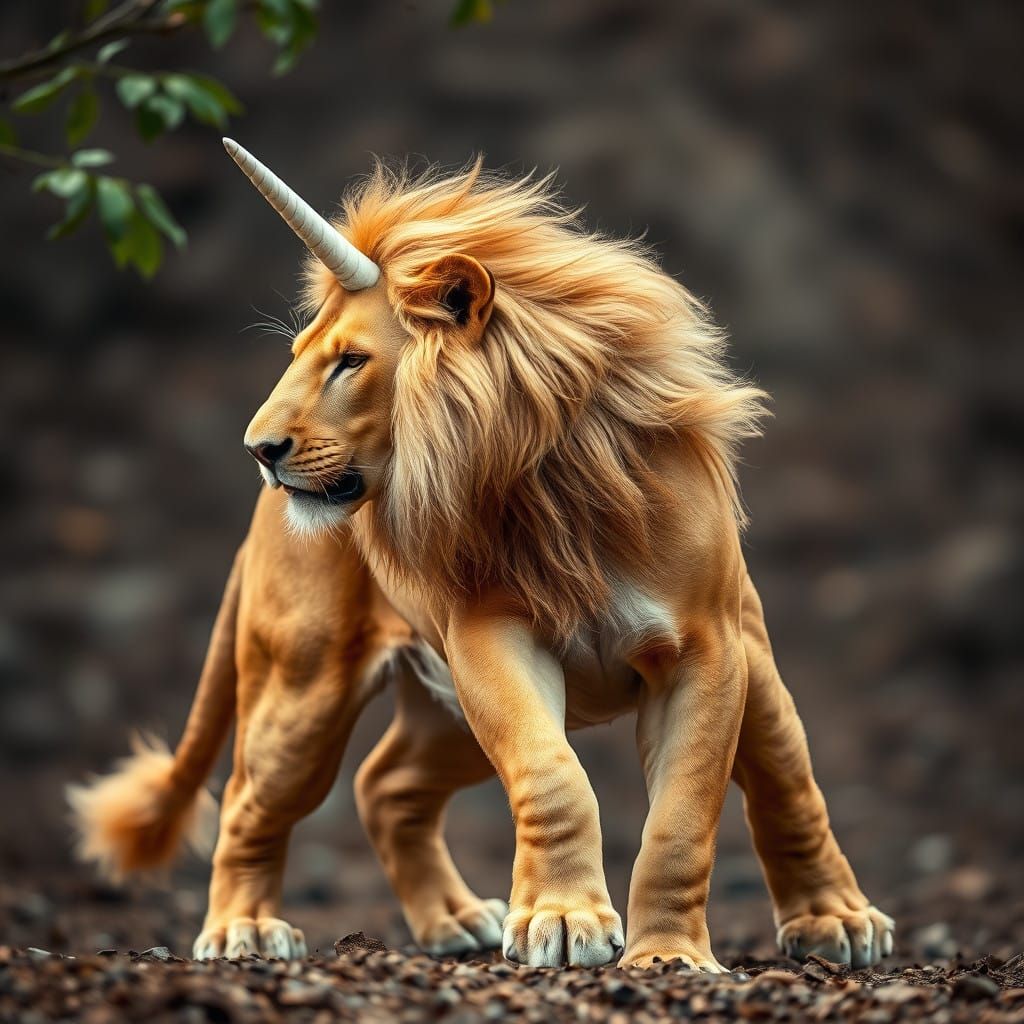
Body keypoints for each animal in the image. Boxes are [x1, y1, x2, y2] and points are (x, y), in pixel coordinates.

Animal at [68, 143, 894, 970]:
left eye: (349, 362)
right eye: (300, 357)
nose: (257, 449)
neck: (551, 485)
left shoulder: (706, 649)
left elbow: (682, 818)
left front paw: (667, 956)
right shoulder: (487, 639)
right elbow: (550, 775)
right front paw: (562, 918)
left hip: (684, 683)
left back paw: (832, 919)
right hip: (303, 687)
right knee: (255, 802)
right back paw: (244, 929)